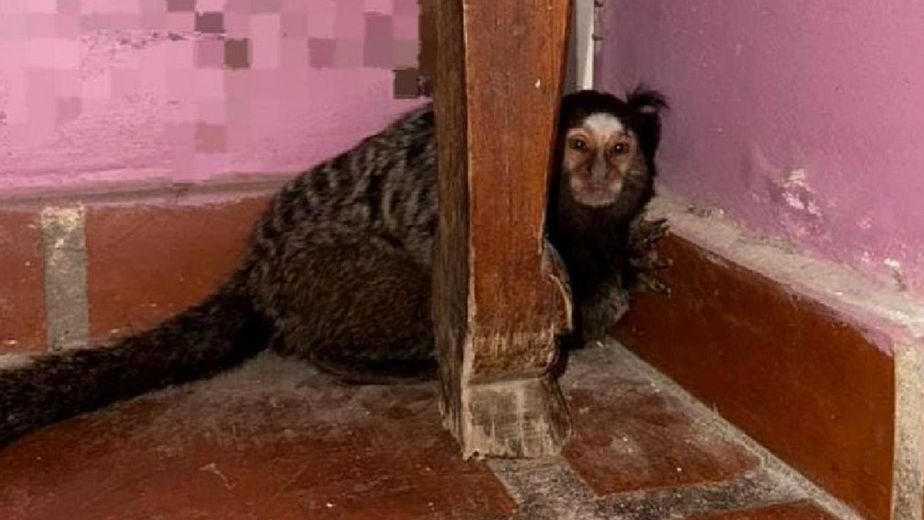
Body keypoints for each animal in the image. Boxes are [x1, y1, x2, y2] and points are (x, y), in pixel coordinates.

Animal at [0, 86, 669, 447]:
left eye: (620, 148)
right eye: (577, 146)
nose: (599, 173)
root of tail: (260, 270)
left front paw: (634, 259)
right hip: (329, 278)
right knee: (418, 299)